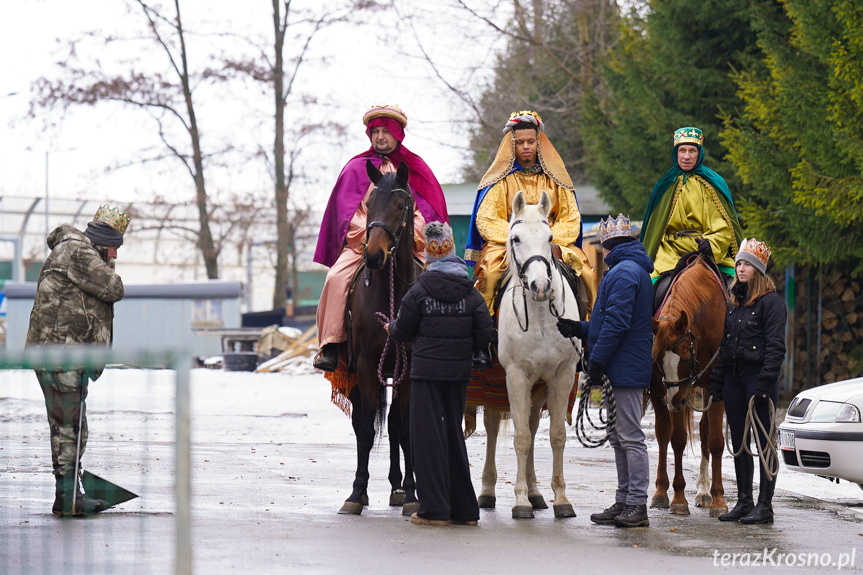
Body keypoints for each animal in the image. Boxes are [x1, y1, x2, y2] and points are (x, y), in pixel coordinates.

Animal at [480, 191, 580, 520]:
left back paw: (537, 493)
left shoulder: (561, 375)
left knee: (535, 426)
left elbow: (556, 434)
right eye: (515, 238)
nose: (540, 286)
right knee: (493, 428)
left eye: (550, 238)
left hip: (539, 387)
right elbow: (521, 436)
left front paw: (560, 498)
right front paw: (520, 501)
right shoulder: (516, 376)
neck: (539, 317)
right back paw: (487, 491)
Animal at [648, 256, 728, 516]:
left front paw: (719, 500)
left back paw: (704, 491)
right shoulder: (668, 389)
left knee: (704, 432)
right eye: (657, 360)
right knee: (665, 435)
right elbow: (676, 439)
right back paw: (662, 492)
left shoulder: (715, 387)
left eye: (684, 358)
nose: (674, 402)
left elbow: (715, 441)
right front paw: (677, 497)